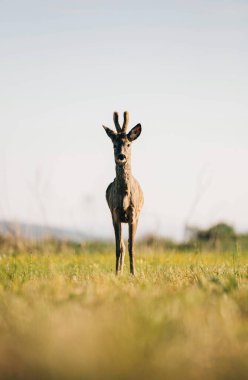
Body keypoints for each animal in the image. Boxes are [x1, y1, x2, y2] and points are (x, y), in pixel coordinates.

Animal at [102, 111, 143, 274]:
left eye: (128, 144)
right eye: (114, 145)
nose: (121, 156)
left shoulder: (133, 214)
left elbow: (132, 246)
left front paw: (133, 273)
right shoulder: (115, 213)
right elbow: (118, 248)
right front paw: (116, 273)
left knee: (127, 244)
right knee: (121, 245)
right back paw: (119, 271)